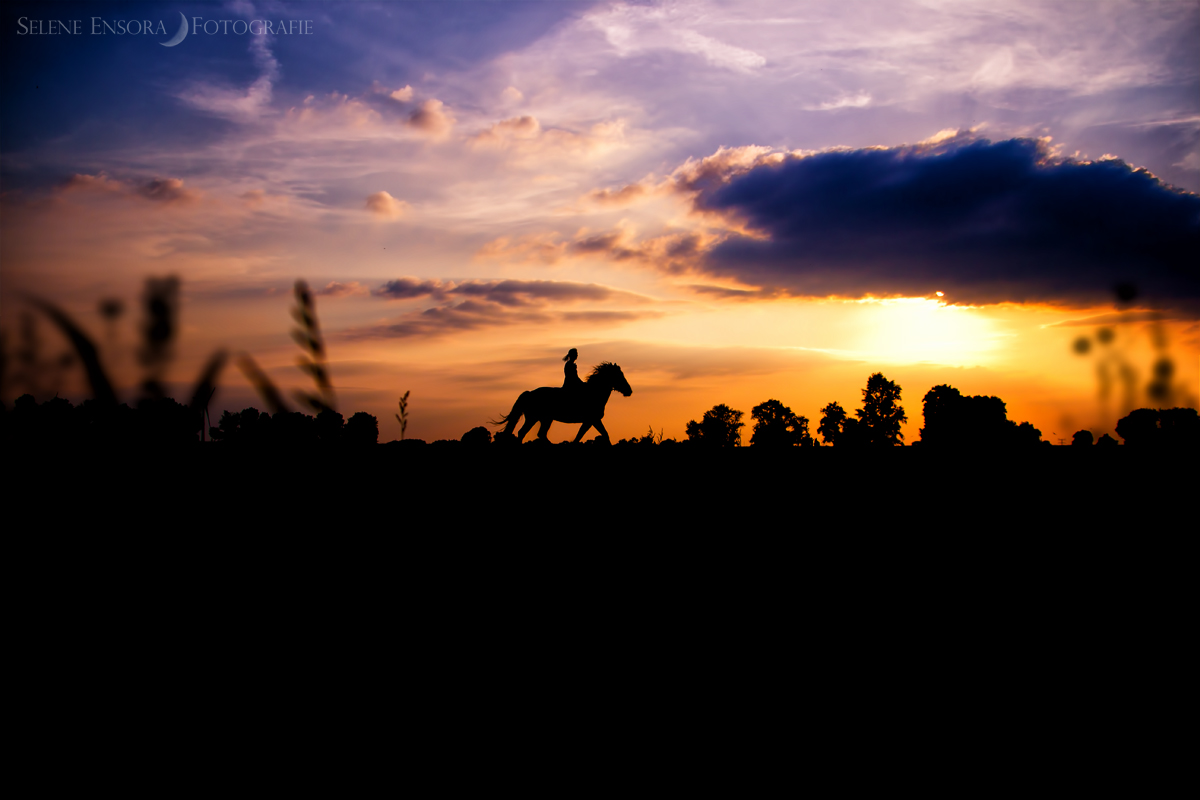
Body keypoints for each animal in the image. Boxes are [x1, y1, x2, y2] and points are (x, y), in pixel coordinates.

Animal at [494, 362, 633, 443]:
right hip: (536, 418)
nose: (629, 391)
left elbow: (584, 436)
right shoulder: (592, 420)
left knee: (536, 434)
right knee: (526, 433)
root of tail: (529, 393)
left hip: (542, 419)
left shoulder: (591, 421)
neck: (594, 393)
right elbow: (599, 435)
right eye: (619, 375)